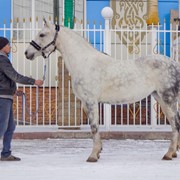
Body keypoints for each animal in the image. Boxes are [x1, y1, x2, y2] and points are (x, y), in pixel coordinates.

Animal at [25, 20, 180, 162]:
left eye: (42, 34)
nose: (27, 53)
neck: (84, 62)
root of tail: (174, 64)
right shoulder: (86, 103)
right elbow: (95, 128)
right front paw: (98, 152)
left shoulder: (91, 102)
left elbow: (94, 127)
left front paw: (93, 156)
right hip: (160, 98)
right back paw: (173, 153)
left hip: (168, 99)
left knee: (175, 123)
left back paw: (168, 154)